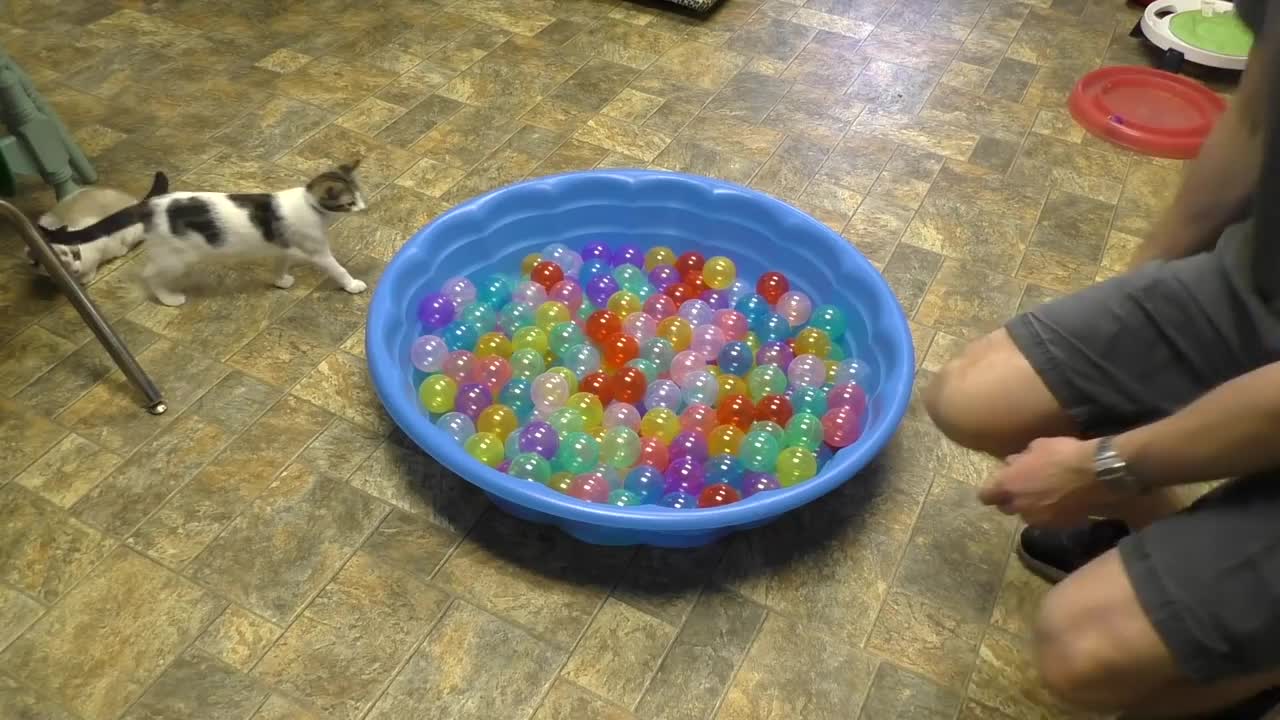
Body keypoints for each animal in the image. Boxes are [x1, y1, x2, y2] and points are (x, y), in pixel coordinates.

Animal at [30, 170, 170, 283]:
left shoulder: (100, 243)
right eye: (63, 266)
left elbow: (92, 267)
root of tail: (137, 203)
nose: (75, 270)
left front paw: (85, 278)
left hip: (130, 233)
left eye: (75, 255)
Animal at [45, 158, 373, 303]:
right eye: (349, 202)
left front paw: (281, 280)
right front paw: (353, 284)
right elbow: (337, 267)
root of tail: (151, 203)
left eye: (359, 196)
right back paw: (169, 298)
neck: (309, 203)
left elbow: (281, 261)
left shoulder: (281, 245)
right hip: (177, 257)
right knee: (149, 275)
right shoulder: (317, 251)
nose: (364, 207)